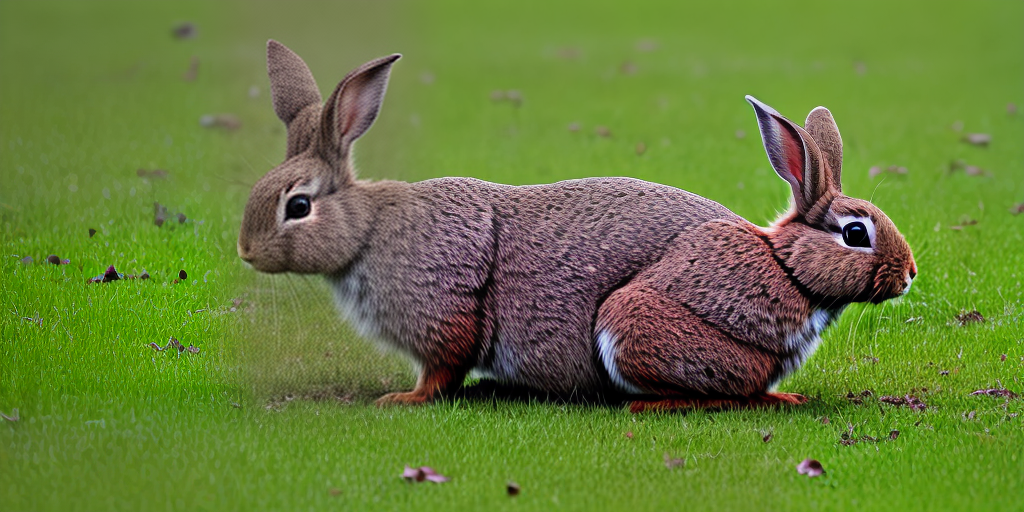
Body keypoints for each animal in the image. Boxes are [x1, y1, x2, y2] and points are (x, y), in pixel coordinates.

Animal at [238, 40, 917, 412]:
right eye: (857, 232)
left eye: (297, 206)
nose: (909, 274)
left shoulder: (445, 317)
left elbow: (442, 370)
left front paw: (403, 399)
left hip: (627, 323)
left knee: (739, 393)